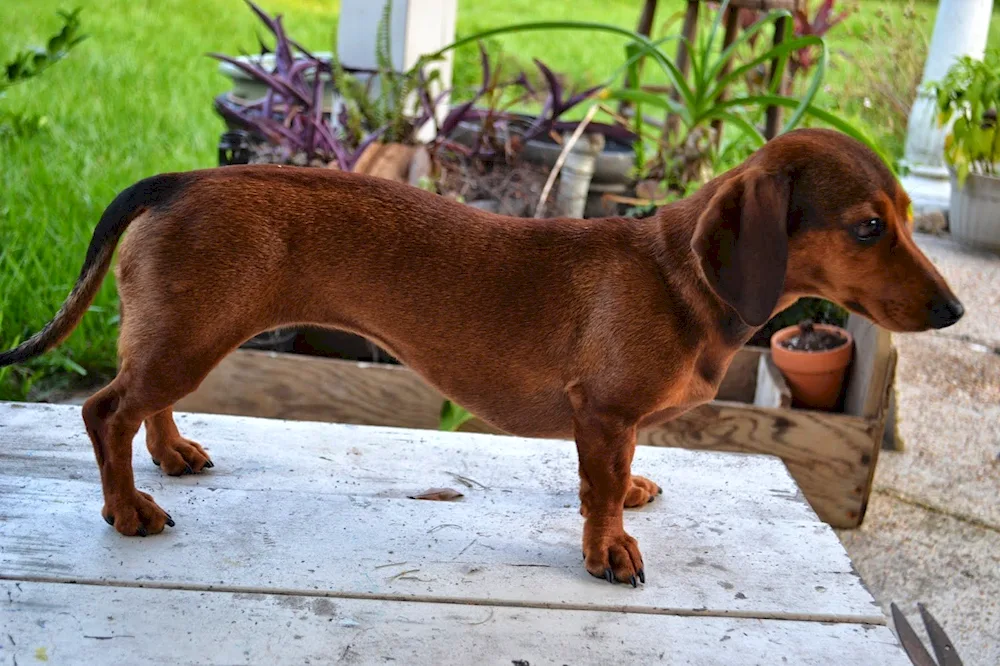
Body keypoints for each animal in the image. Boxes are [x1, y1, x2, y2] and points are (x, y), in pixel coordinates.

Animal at [1, 127, 968, 584]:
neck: (675, 275)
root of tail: (180, 179)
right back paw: (127, 507)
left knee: (143, 403)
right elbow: (599, 491)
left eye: (908, 217)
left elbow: (619, 475)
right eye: (868, 227)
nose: (957, 309)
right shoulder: (601, 414)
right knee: (104, 410)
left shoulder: (617, 423)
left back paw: (170, 454)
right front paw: (609, 548)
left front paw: (635, 495)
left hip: (185, 336)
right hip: (192, 339)